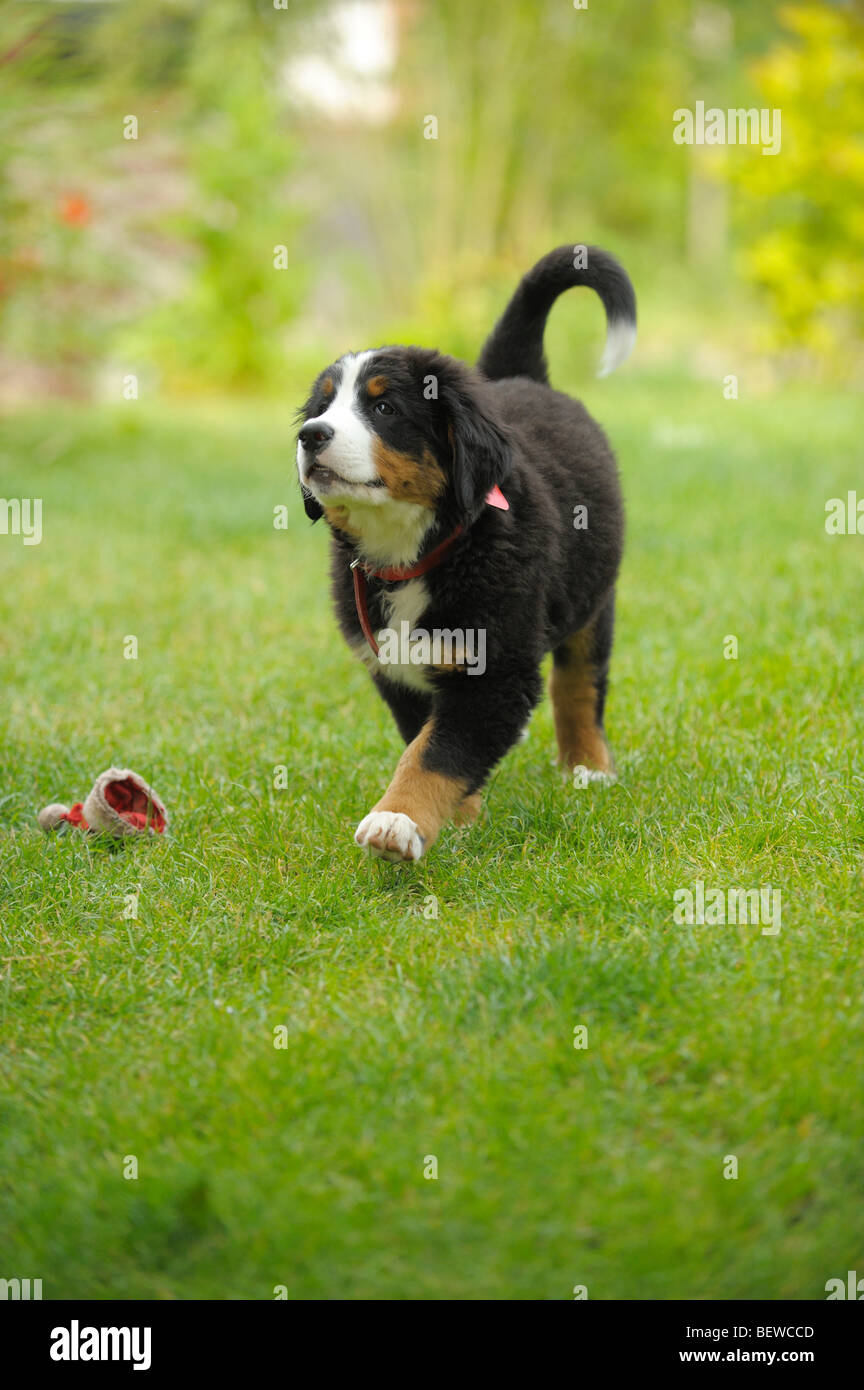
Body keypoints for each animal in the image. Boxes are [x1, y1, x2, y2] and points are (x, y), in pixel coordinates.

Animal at [295, 244, 636, 861]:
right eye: (323, 406)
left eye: (383, 409)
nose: (310, 435)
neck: (413, 552)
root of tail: (518, 377)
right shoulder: (396, 669)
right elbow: (428, 740)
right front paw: (457, 817)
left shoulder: (495, 671)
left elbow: (437, 753)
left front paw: (397, 820)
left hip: (593, 597)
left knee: (579, 682)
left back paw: (589, 767)